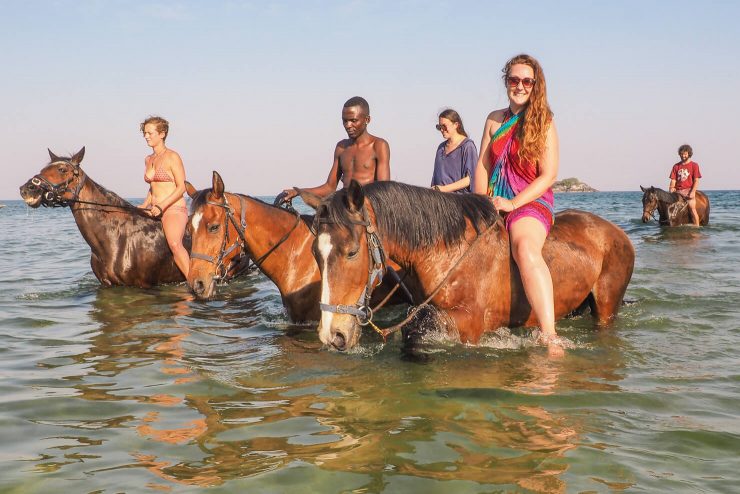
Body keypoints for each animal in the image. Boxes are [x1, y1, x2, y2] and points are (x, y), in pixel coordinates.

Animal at [22, 147, 188, 288]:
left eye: (62, 169)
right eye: (43, 170)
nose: (27, 189)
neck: (118, 238)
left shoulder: (143, 285)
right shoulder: (107, 284)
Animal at [312, 181, 636, 352]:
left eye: (352, 252)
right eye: (316, 253)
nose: (332, 334)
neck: (447, 251)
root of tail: (617, 233)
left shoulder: (470, 324)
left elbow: (416, 329)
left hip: (606, 307)